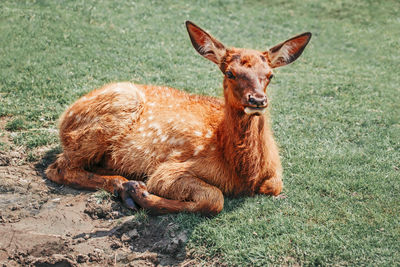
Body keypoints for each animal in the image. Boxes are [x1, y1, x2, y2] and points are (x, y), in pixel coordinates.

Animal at [45, 22, 310, 217]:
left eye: (270, 75)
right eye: (230, 73)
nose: (257, 100)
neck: (246, 175)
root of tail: (64, 116)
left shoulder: (275, 176)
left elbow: (273, 186)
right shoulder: (170, 169)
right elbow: (214, 198)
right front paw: (141, 193)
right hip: (112, 112)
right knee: (58, 168)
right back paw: (126, 187)